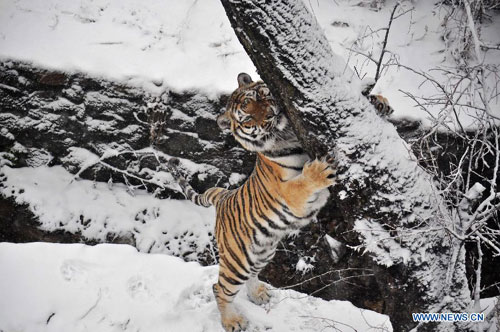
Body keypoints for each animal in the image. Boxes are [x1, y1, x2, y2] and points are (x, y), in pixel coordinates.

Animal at [168, 73, 394, 332]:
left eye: (259, 96)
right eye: (247, 118)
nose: (270, 114)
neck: (288, 134)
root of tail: (225, 196)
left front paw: (379, 102)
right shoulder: (289, 193)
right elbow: (302, 183)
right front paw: (318, 171)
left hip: (263, 252)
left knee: (251, 275)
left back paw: (258, 294)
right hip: (237, 260)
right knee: (219, 288)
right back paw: (232, 321)